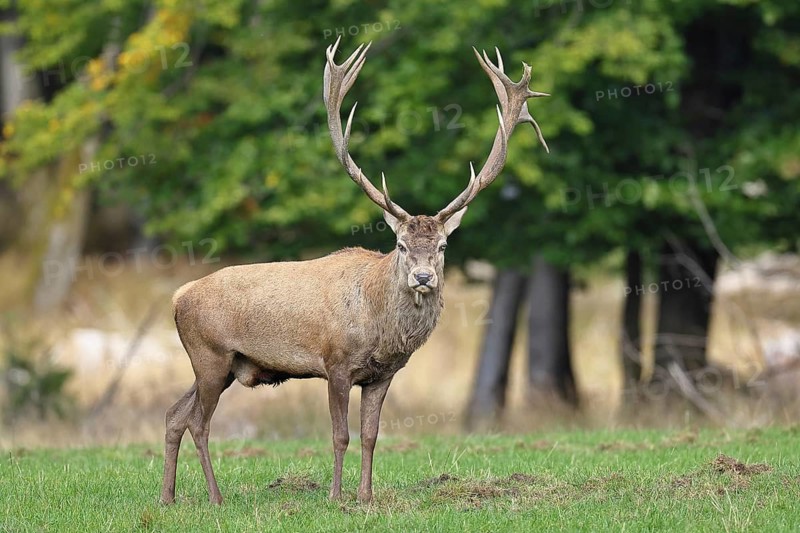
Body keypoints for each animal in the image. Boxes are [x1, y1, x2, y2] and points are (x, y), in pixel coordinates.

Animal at [160, 36, 549, 506]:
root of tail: (178, 297)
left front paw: (365, 496)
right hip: (210, 355)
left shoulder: (382, 374)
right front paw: (335, 496)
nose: (423, 277)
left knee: (174, 414)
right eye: (400, 245)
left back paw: (167, 497)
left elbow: (370, 435)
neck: (379, 326)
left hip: (225, 365)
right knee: (198, 421)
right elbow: (339, 435)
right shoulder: (336, 363)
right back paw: (215, 498)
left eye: (442, 246)